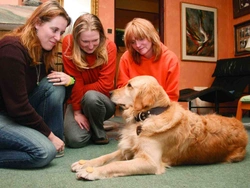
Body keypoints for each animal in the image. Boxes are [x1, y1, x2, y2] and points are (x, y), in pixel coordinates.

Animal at [71, 75, 249, 181]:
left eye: (130, 85)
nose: (109, 92)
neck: (147, 116)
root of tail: (240, 125)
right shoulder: (127, 149)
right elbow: (104, 157)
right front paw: (84, 163)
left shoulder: (150, 161)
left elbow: (115, 165)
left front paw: (90, 172)